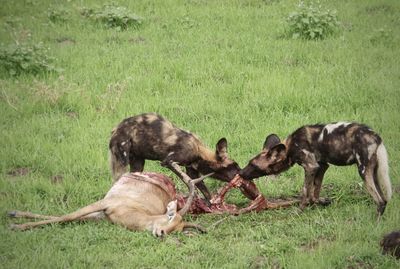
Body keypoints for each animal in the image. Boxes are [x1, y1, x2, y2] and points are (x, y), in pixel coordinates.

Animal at [7, 171, 205, 236]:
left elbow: (66, 218)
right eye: (170, 216)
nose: (162, 233)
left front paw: (15, 217)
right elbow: (66, 216)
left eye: (177, 229)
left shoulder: (101, 216)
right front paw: (16, 225)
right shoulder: (104, 203)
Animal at [239, 122, 392, 215]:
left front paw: (299, 211)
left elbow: (305, 191)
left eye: (253, 166)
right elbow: (315, 192)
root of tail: (376, 137)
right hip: (373, 173)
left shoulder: (311, 167)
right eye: (250, 162)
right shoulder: (321, 166)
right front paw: (320, 203)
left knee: (380, 200)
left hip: (363, 171)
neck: (290, 148)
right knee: (384, 199)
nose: (240, 173)